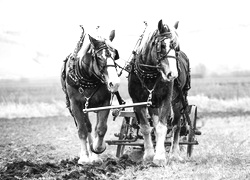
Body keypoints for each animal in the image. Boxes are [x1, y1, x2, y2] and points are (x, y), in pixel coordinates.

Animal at [60, 28, 119, 165]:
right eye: (99, 57)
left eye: (115, 56)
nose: (115, 83)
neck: (88, 77)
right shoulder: (76, 105)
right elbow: (82, 130)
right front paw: (84, 158)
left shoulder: (105, 103)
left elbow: (101, 128)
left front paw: (97, 150)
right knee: (86, 127)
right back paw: (86, 155)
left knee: (91, 127)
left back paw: (93, 154)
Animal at [128, 20, 183, 166]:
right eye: (162, 45)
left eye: (177, 47)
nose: (173, 74)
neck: (150, 76)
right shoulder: (138, 101)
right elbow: (146, 127)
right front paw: (149, 155)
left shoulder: (166, 99)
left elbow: (162, 127)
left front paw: (159, 158)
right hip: (153, 105)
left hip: (177, 102)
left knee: (176, 126)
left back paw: (174, 154)